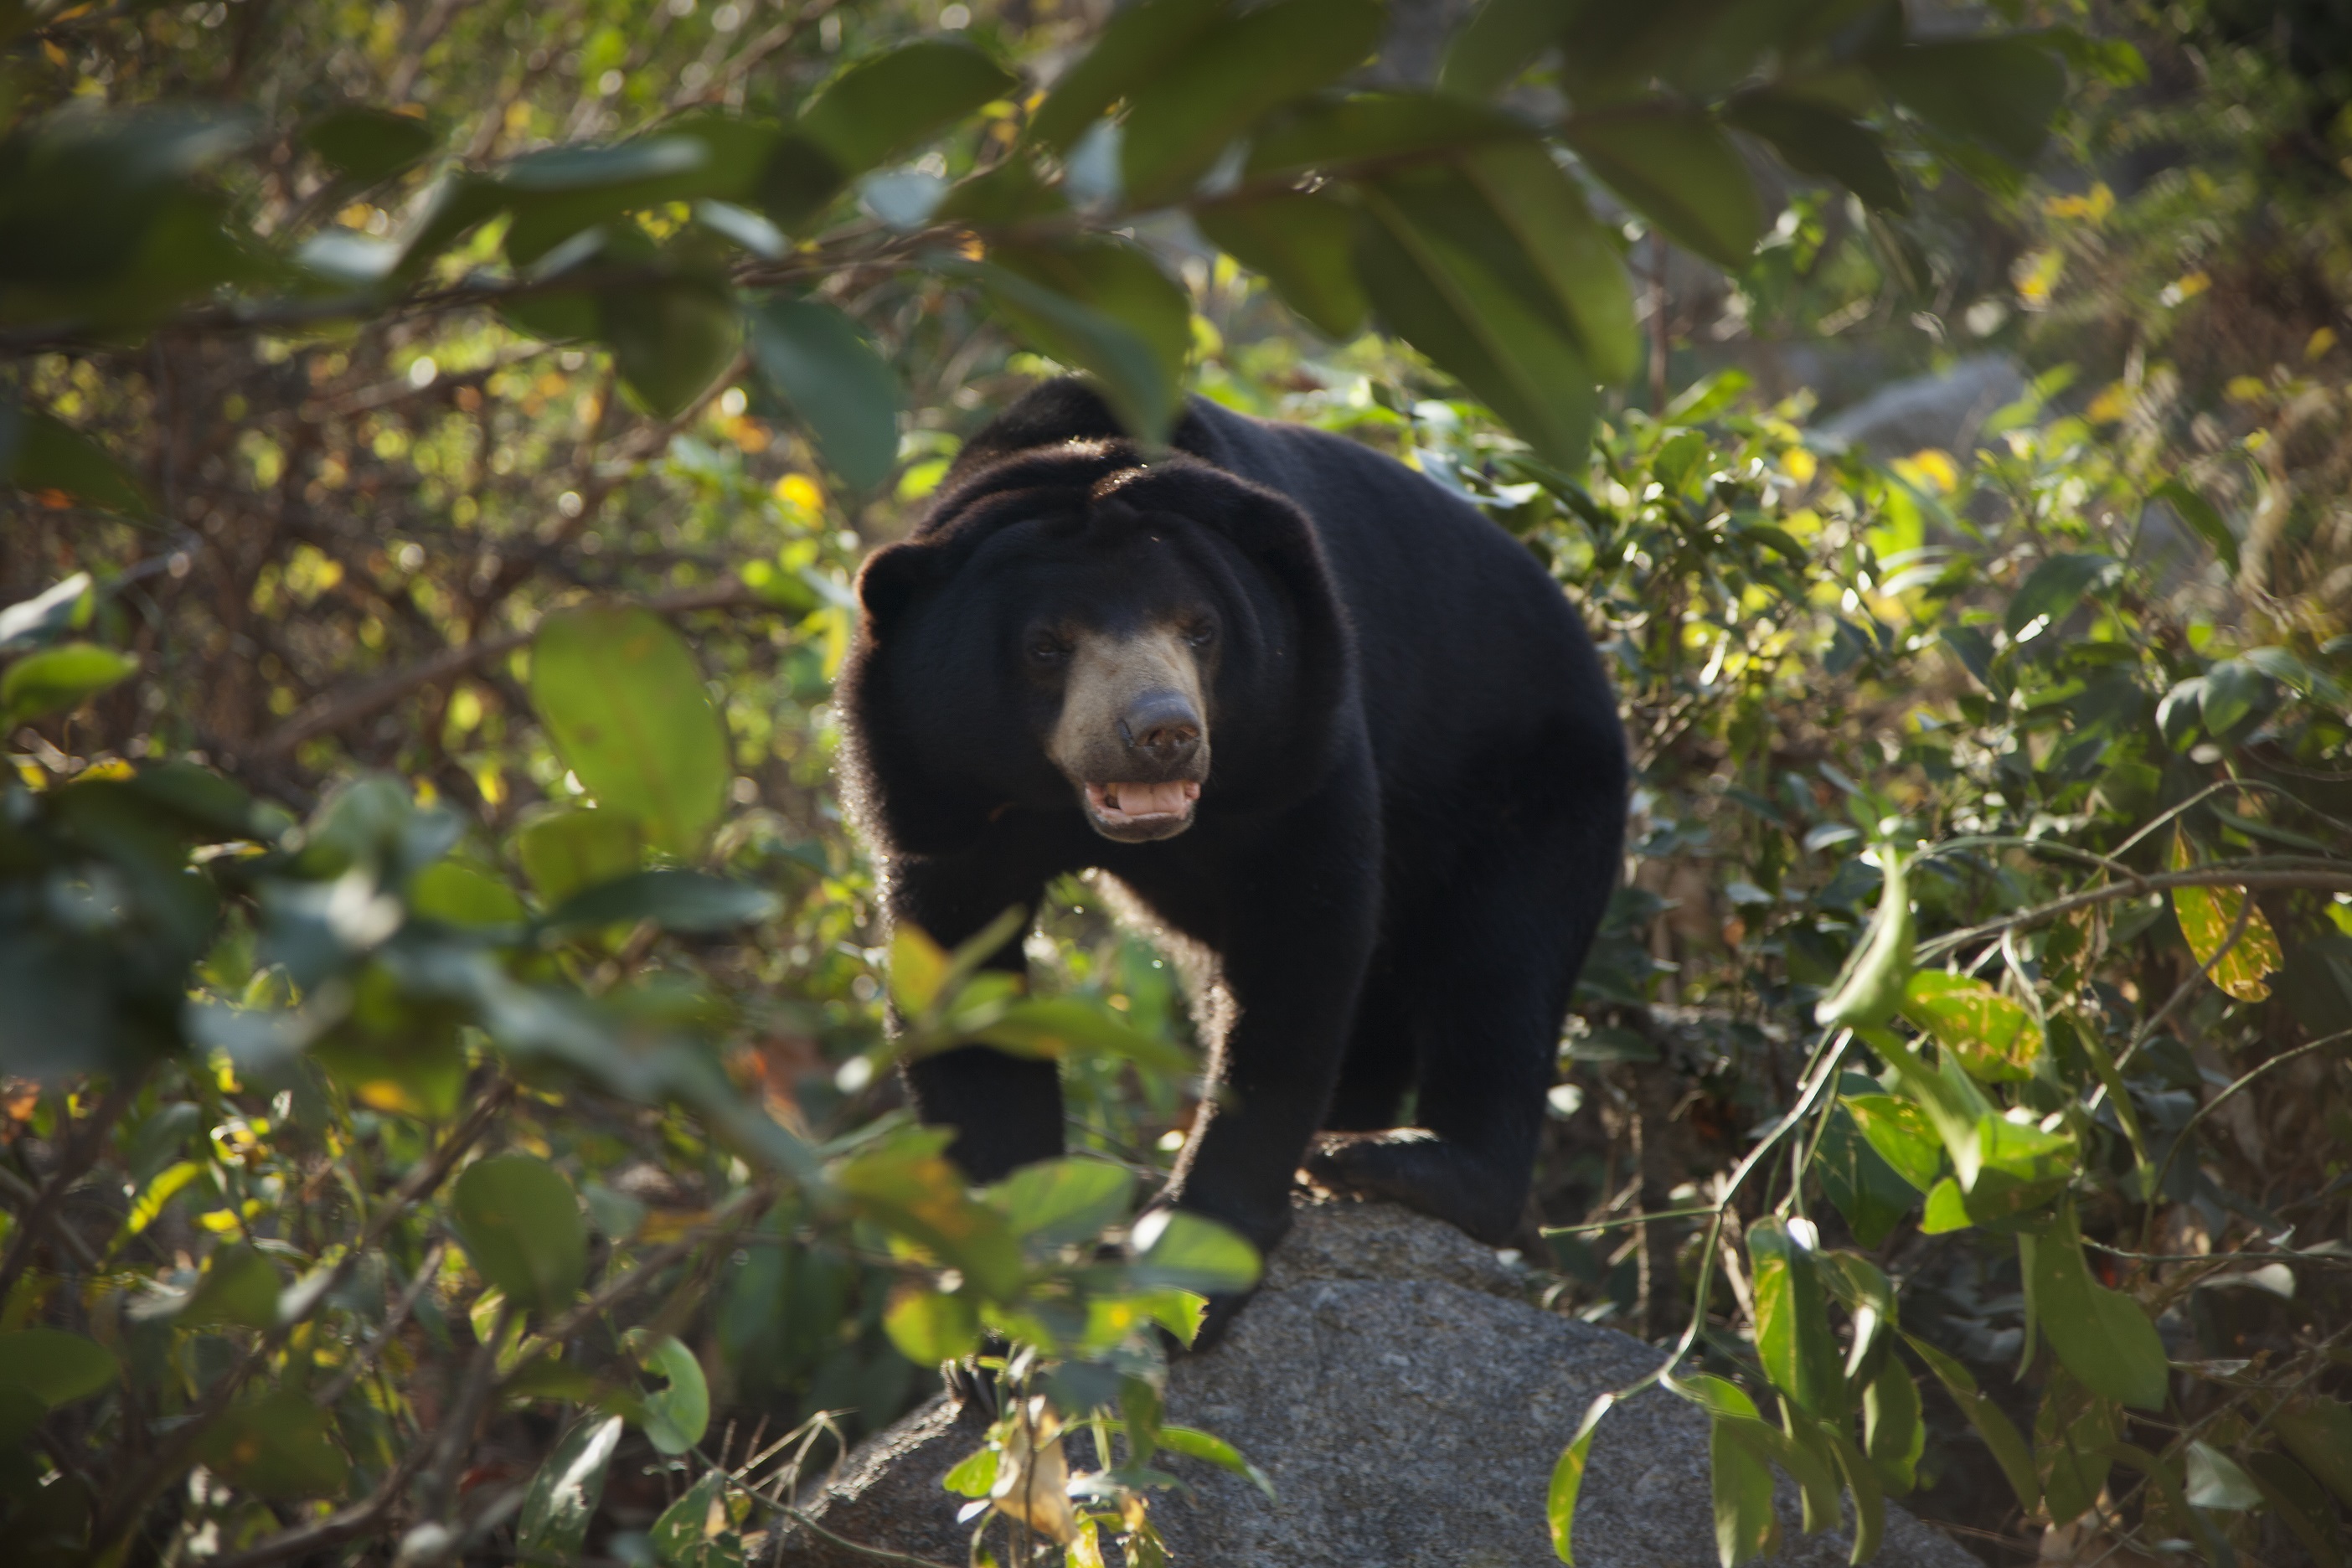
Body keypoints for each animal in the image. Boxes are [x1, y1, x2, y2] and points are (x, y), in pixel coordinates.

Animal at [837, 376, 1627, 1297]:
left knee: (1502, 964)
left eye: (1200, 628)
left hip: (1535, 780)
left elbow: (1301, 943)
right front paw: (1019, 1255)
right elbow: (958, 979)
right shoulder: (936, 791)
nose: (1163, 733)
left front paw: (1195, 1247)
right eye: (1046, 645)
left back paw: (1398, 1163)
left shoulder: (1303, 741)